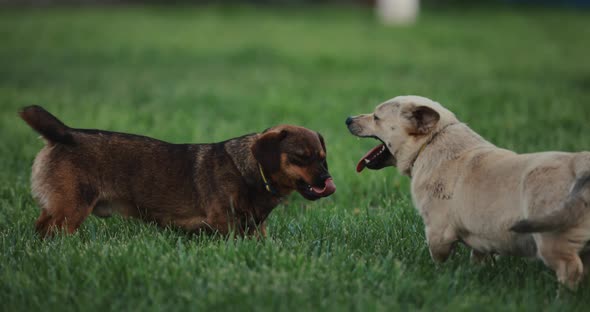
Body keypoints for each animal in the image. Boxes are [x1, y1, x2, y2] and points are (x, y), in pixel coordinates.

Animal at [20, 106, 338, 238]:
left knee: (41, 227)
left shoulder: (255, 229)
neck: (249, 172)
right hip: (72, 208)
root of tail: (66, 135)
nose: (327, 181)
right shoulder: (224, 225)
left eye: (323, 159)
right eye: (300, 158)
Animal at [346, 95, 590, 290]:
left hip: (552, 239)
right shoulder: (480, 238)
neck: (431, 141)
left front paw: (438, 277)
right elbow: (478, 258)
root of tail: (580, 164)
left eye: (376, 117)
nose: (348, 119)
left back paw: (562, 298)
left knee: (570, 269)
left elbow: (439, 260)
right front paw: (474, 275)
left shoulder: (438, 231)